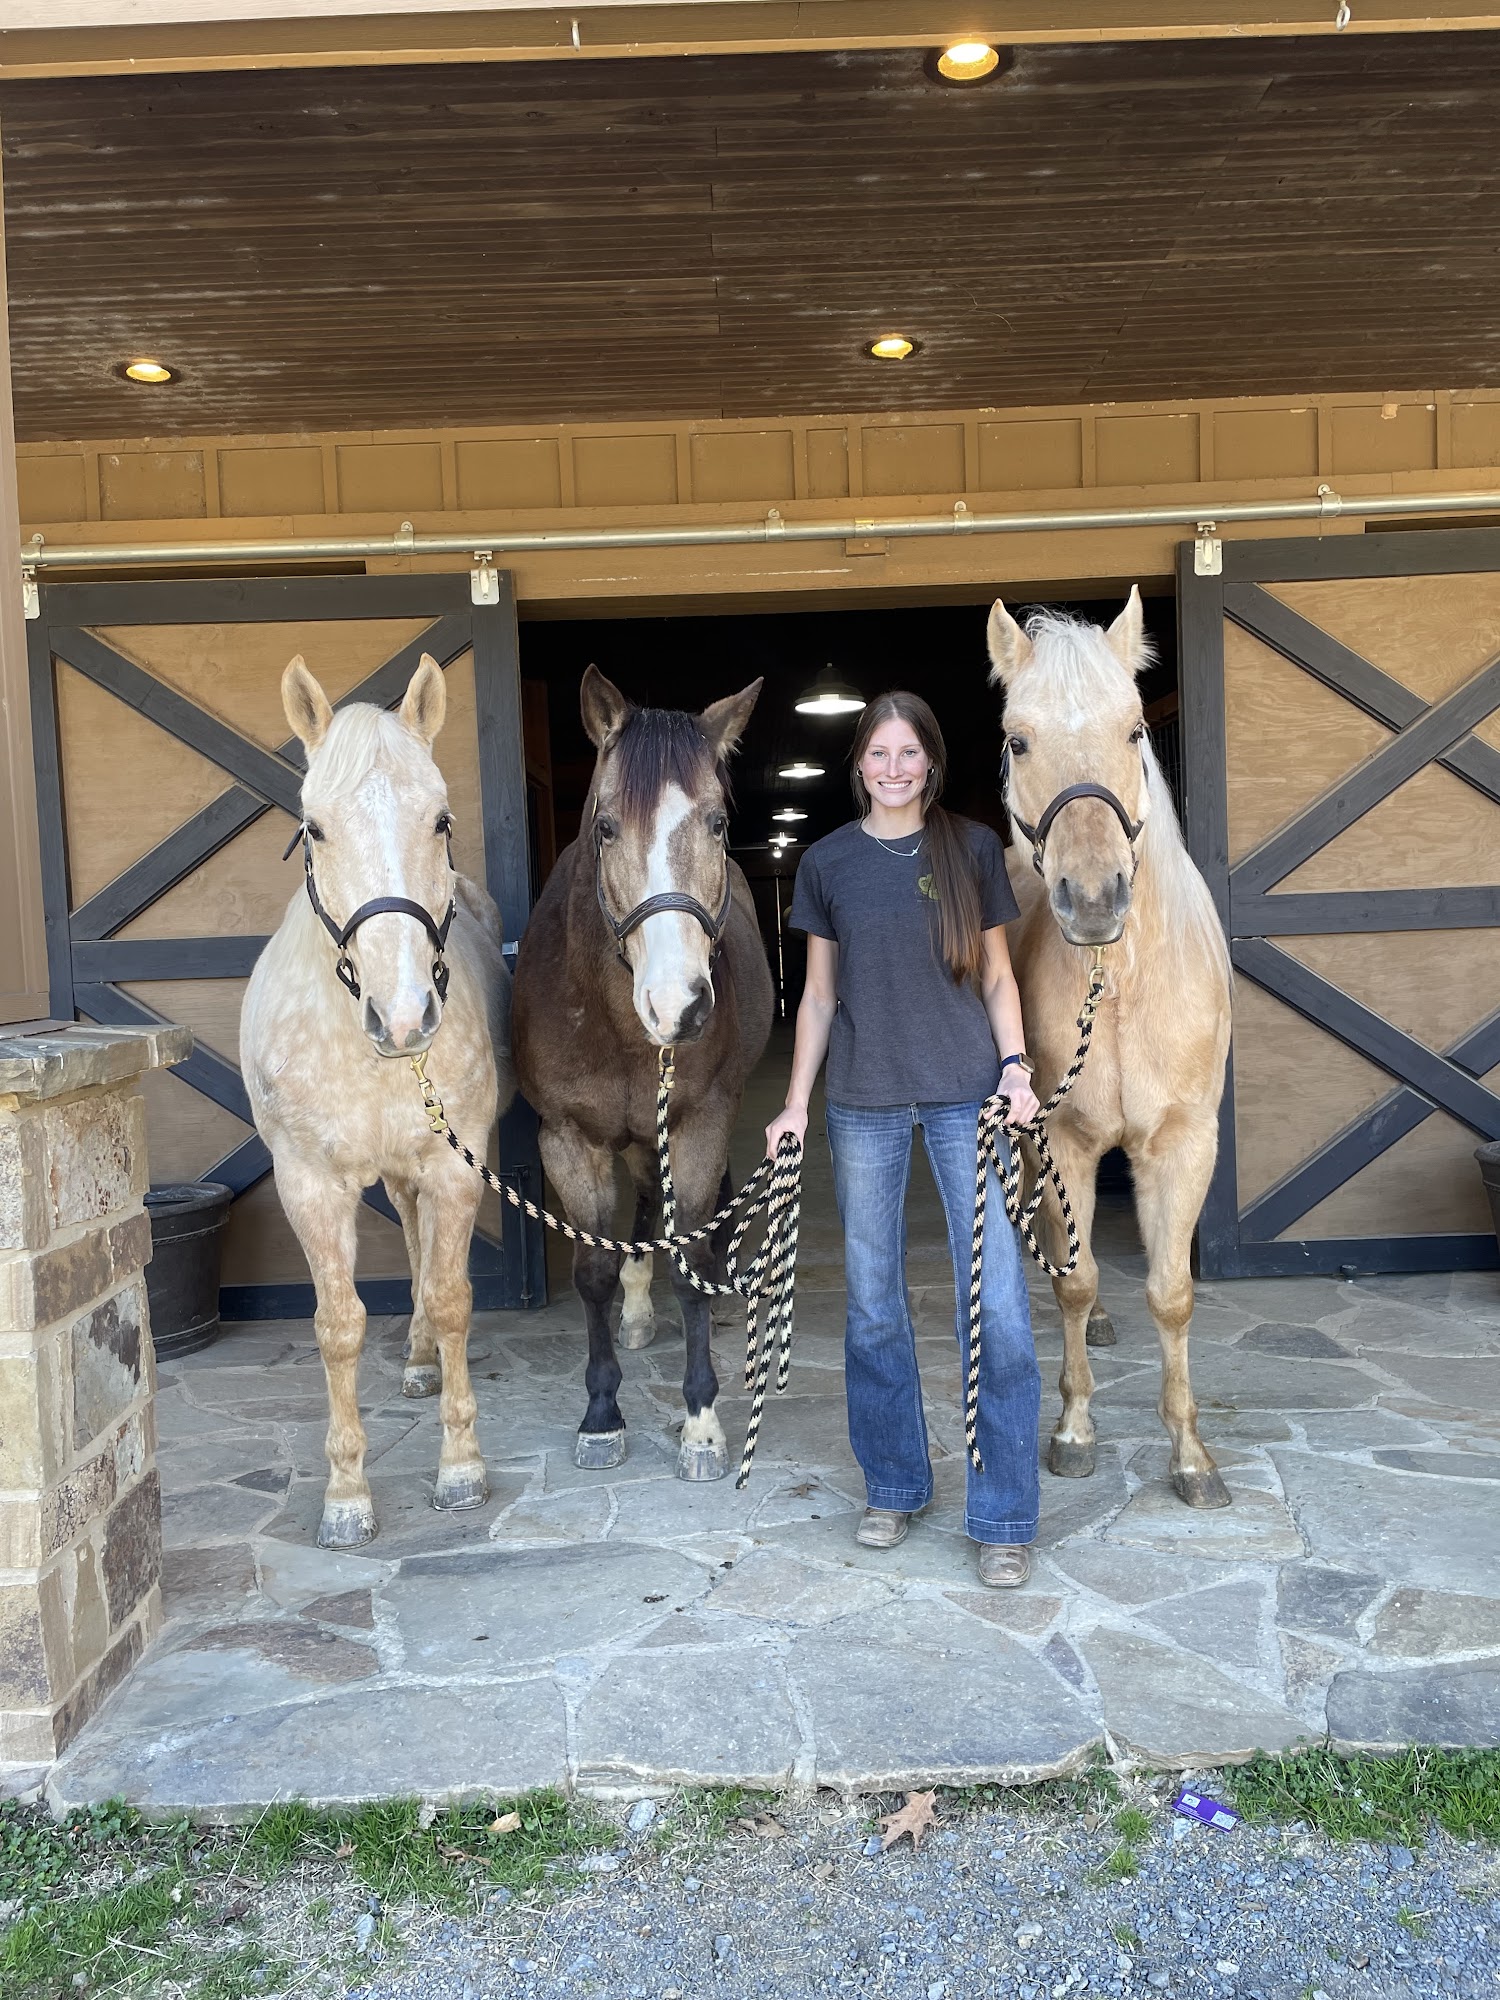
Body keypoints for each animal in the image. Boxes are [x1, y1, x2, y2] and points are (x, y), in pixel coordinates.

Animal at [241, 654, 513, 1548]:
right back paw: (418, 1360)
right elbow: (338, 1326)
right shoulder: (309, 1186)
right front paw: (346, 1493)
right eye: (315, 829)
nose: (403, 1017)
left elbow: (454, 1297)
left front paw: (460, 1465)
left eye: (441, 819)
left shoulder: (457, 1167)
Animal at [511, 665, 774, 1480]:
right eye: (605, 827)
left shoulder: (700, 1122)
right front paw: (601, 1413)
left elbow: (689, 1258)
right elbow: (592, 1272)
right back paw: (634, 1310)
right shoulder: (569, 1140)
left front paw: (701, 1423)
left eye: (718, 823)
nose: (677, 1004)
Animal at [986, 588, 1234, 1510]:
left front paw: (1191, 1455)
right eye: (1018, 739)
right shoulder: (1066, 1138)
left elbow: (1171, 1293)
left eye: (1134, 730)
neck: (1119, 981)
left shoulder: (1185, 1144)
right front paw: (1074, 1429)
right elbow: (1079, 1273)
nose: (1093, 899)